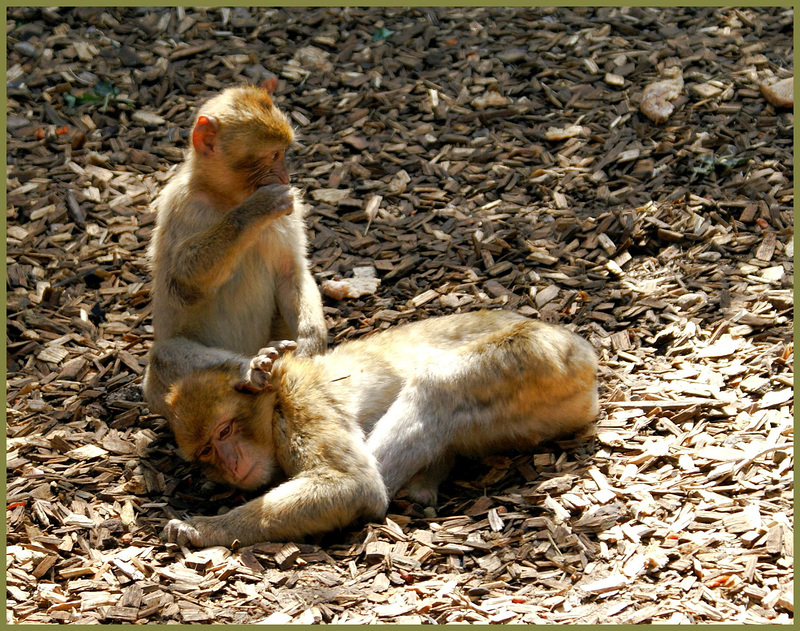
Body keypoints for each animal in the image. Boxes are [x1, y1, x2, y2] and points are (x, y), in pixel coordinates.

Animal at [142, 81, 326, 422]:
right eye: (272, 155)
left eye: (283, 154)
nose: (285, 177)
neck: (226, 198)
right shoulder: (181, 205)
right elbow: (182, 285)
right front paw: (256, 210)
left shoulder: (292, 210)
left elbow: (291, 271)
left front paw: (312, 341)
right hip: (159, 394)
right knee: (164, 356)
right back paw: (250, 372)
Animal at [164, 312, 600, 548]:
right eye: (206, 451)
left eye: (224, 432)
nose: (231, 463)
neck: (272, 411)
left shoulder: (302, 404)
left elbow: (353, 484)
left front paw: (202, 528)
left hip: (542, 357)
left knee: (436, 387)